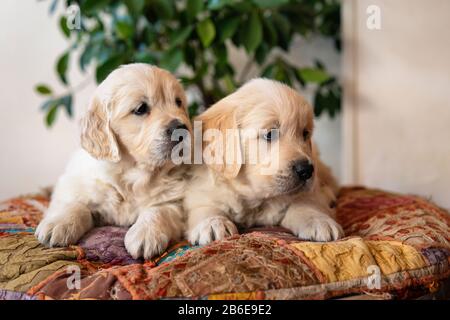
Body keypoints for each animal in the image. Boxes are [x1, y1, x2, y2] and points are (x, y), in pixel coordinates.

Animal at [35, 63, 190, 260]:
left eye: (178, 102)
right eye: (141, 108)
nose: (182, 129)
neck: (133, 173)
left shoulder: (174, 199)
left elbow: (158, 209)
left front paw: (146, 234)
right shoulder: (75, 184)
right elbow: (75, 203)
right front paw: (58, 224)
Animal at [185, 78, 342, 245]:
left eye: (305, 134)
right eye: (270, 134)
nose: (306, 170)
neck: (255, 199)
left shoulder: (307, 189)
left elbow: (305, 202)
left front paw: (318, 221)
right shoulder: (201, 190)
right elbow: (204, 206)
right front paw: (212, 223)